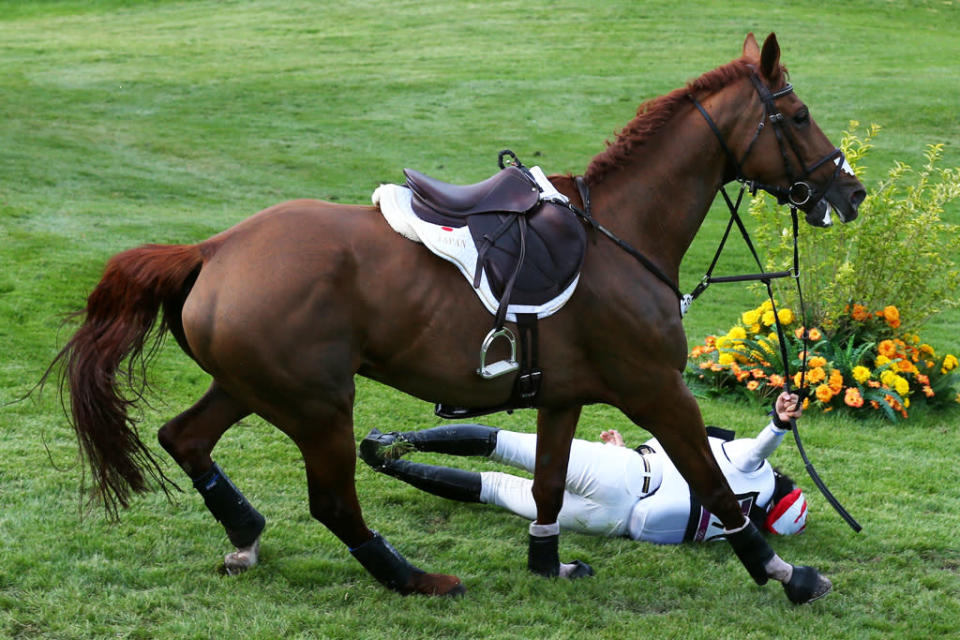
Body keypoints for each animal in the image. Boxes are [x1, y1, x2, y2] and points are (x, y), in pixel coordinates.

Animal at [52, 32, 864, 604]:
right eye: (798, 115)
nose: (850, 192)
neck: (621, 234)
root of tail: (217, 247)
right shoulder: (658, 391)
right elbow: (716, 485)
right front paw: (786, 574)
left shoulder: (563, 397)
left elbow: (547, 485)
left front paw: (547, 562)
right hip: (320, 405)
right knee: (333, 502)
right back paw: (412, 578)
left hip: (257, 387)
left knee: (185, 438)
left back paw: (248, 533)